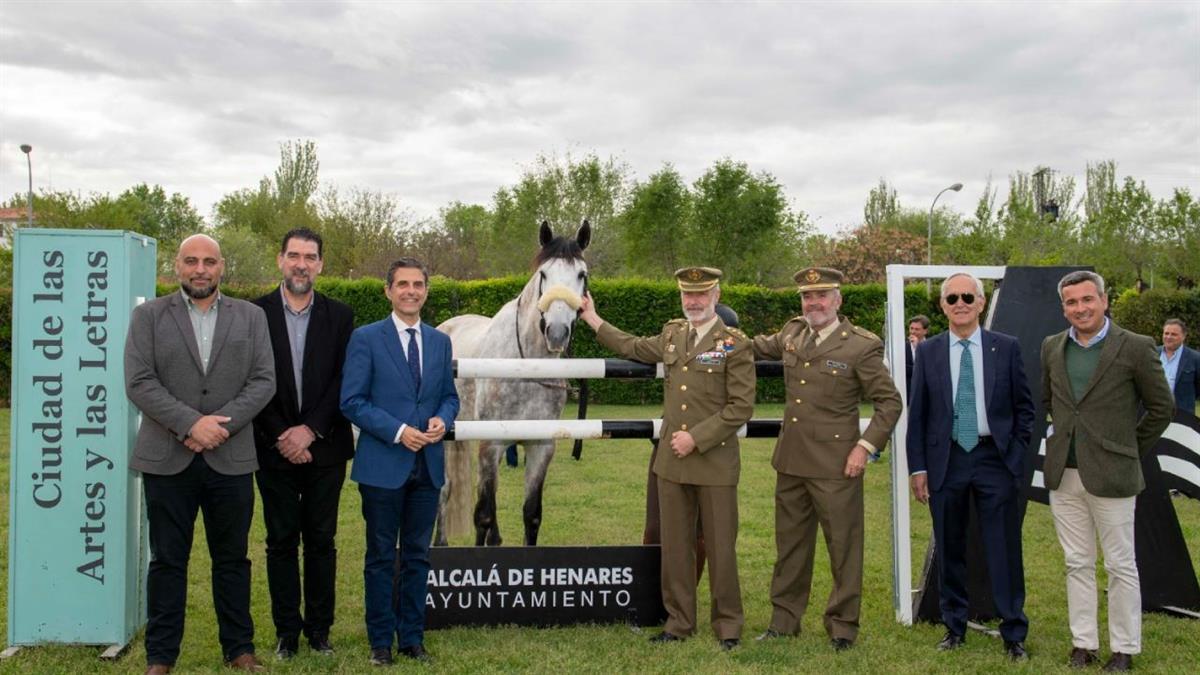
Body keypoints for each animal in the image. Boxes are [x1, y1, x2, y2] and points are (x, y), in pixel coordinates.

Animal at [434, 220, 590, 546]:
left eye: (581, 275)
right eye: (544, 274)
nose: (557, 332)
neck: (527, 366)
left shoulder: (540, 448)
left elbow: (531, 515)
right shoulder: (490, 446)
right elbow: (483, 515)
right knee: (444, 489)